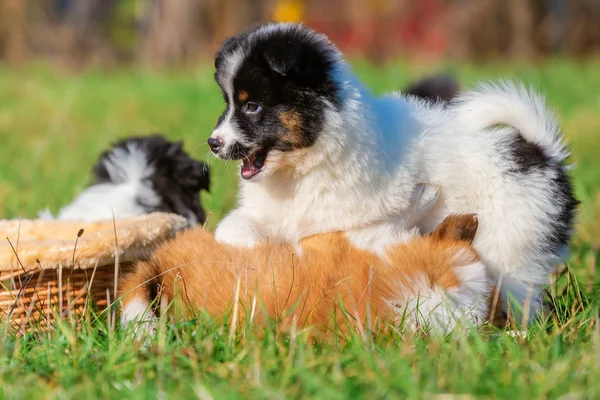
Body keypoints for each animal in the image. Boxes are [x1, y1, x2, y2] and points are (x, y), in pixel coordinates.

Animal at [207, 23, 576, 318]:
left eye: (253, 107)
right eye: (228, 104)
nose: (213, 142)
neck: (301, 168)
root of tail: (540, 153)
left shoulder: (348, 227)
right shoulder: (274, 215)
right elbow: (234, 229)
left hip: (511, 250)